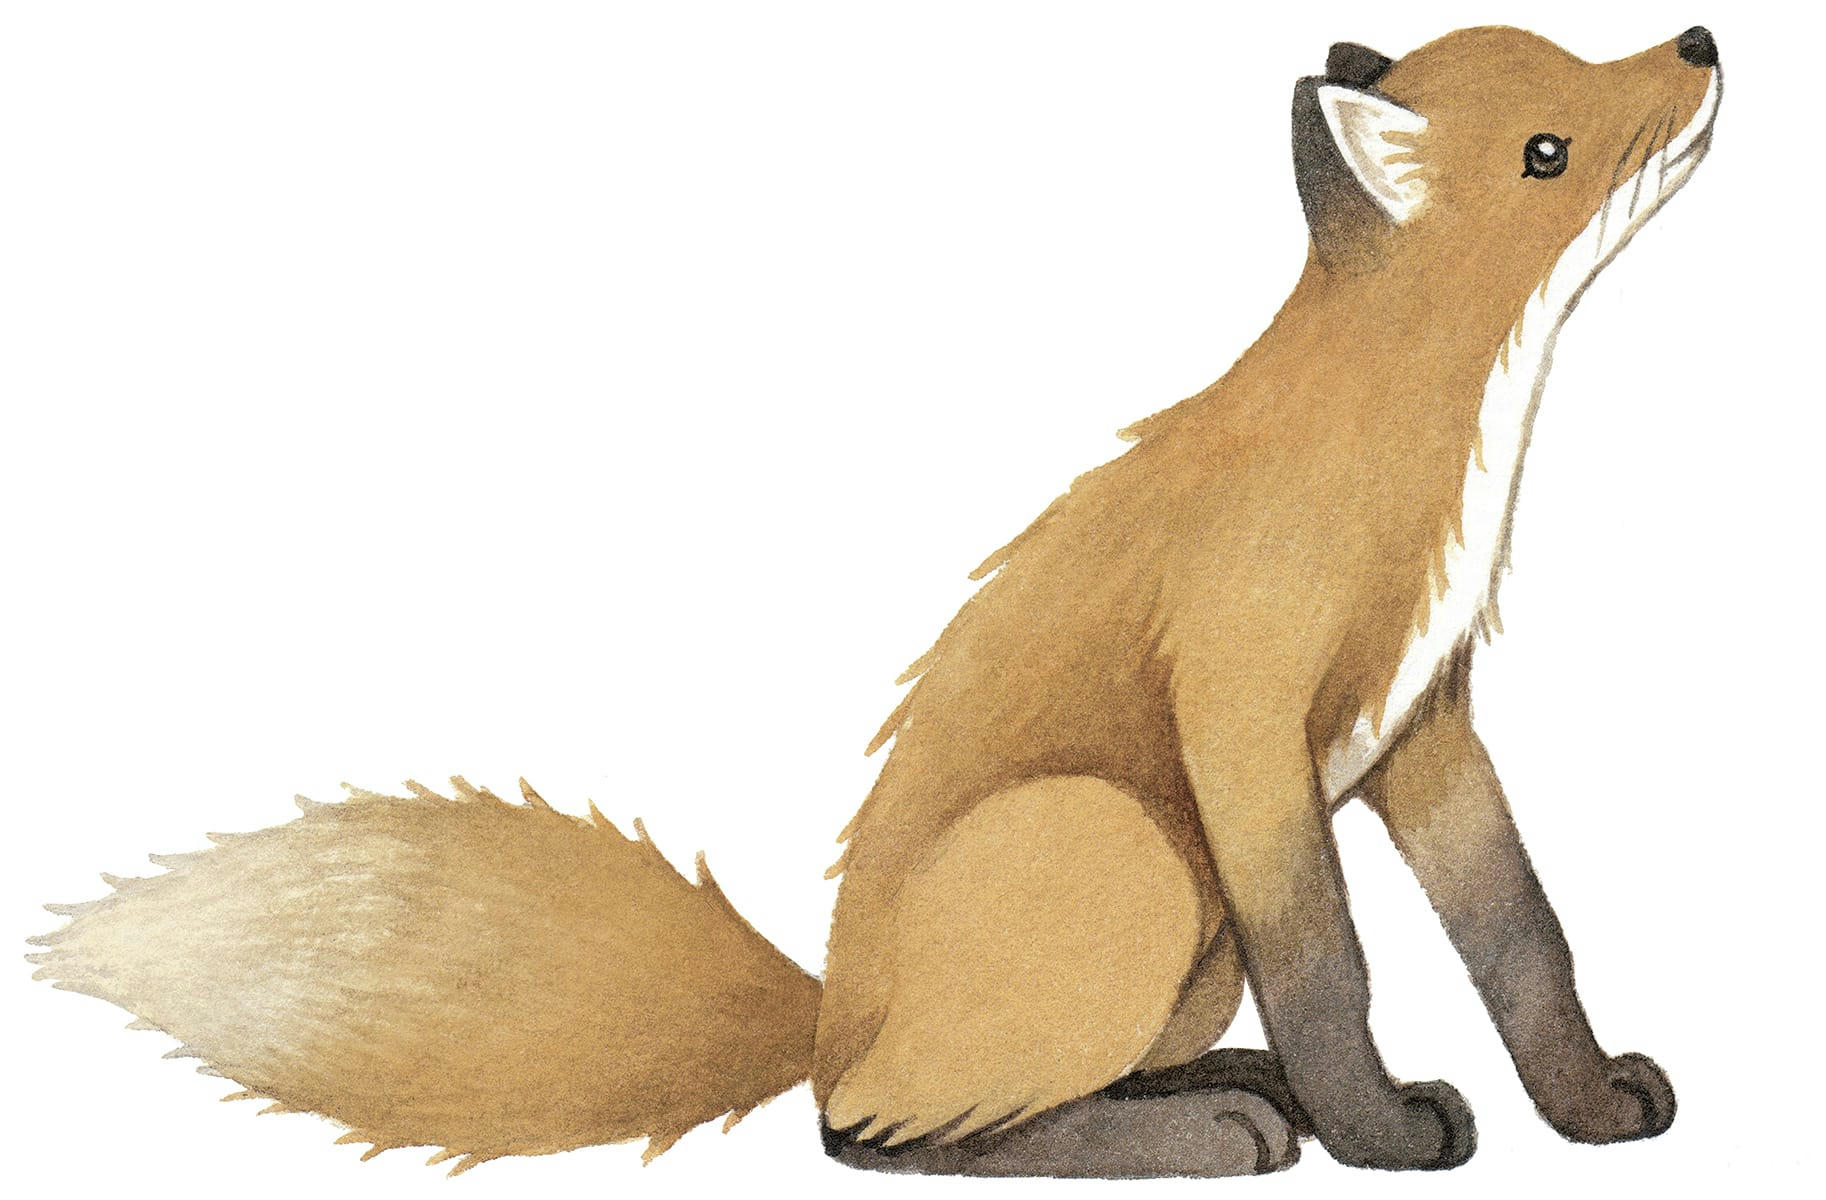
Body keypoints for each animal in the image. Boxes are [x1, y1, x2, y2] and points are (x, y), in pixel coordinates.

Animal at [30, 24, 1720, 1180]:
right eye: (1548, 147)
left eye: (1578, 59)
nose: (1698, 41)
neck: (1404, 455)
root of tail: (828, 1010)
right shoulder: (1244, 724)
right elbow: (1332, 965)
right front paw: (1379, 1133)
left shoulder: (1423, 723)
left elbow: (1522, 939)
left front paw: (1587, 1109)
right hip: (1123, 848)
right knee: (870, 1136)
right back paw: (1213, 1133)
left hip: (1175, 938)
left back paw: (1219, 1097)